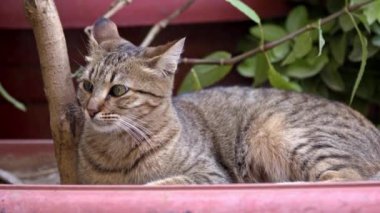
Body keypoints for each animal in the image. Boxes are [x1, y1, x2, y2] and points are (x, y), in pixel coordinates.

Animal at [76, 18, 380, 185]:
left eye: (118, 90)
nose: (90, 110)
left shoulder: (211, 174)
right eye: (87, 85)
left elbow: (159, 185)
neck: (115, 152)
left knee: (343, 179)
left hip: (289, 134)